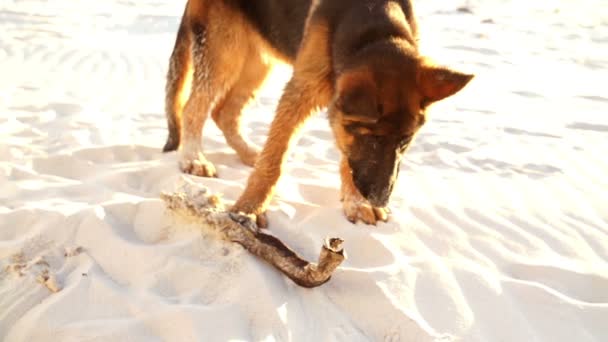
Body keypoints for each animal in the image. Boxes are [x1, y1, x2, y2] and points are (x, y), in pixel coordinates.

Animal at [164, 0, 472, 227]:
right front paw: (249, 208)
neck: (374, 30)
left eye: (405, 141)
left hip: (259, 60)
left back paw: (249, 152)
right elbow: (274, 160)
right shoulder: (302, 90)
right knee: (194, 107)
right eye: (373, 139)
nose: (379, 199)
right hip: (226, 51)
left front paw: (356, 202)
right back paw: (193, 158)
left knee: (224, 111)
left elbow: (348, 157)